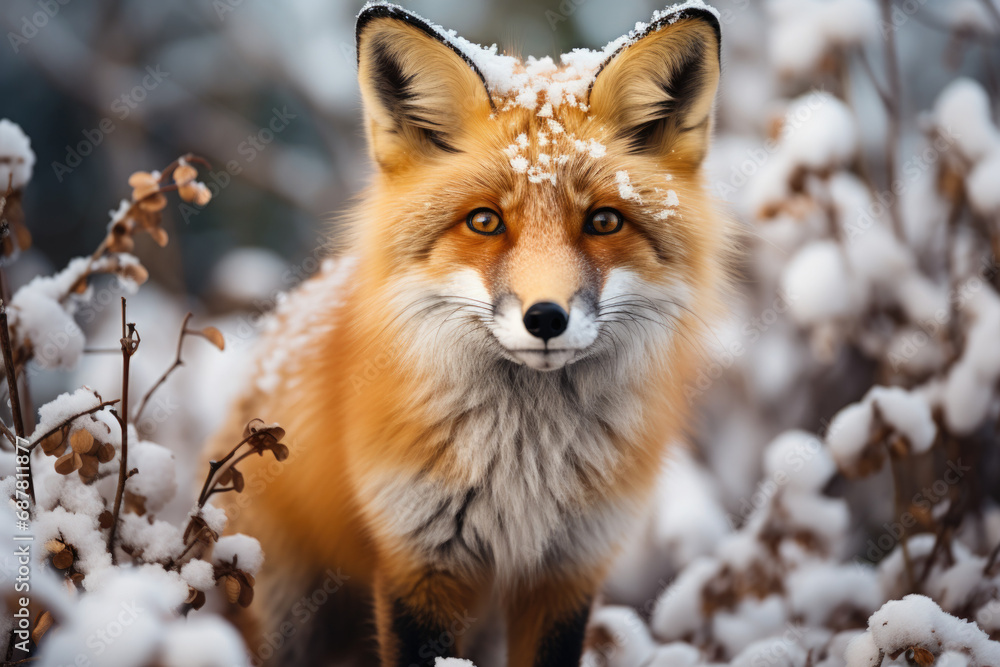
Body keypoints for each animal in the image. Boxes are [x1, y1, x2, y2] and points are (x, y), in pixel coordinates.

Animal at [208, 2, 733, 665]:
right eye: (485, 222)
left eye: (603, 221)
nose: (545, 318)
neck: (526, 466)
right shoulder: (419, 559)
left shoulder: (567, 568)